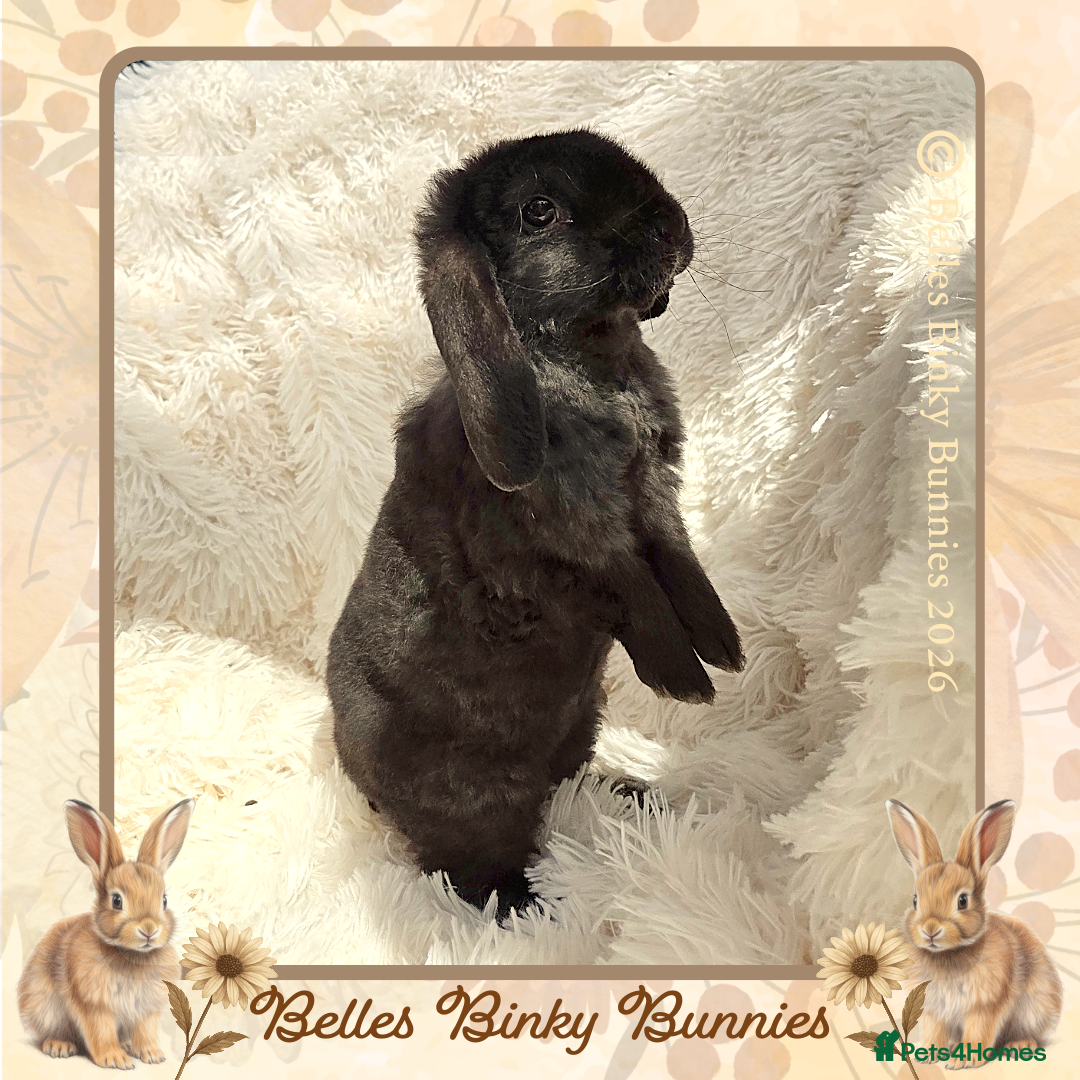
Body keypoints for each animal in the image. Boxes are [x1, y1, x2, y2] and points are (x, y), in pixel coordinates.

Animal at [17, 798, 194, 1069]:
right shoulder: (95, 1005)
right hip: (45, 1007)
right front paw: (115, 1060)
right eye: (117, 901)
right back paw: (59, 1046)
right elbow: (101, 1031)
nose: (149, 930)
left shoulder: (145, 1010)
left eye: (164, 900)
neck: (131, 954)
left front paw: (152, 1055)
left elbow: (145, 1031)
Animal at [328, 128, 744, 919]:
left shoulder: (653, 496)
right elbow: (634, 592)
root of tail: (360, 780)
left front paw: (726, 649)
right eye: (540, 211)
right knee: (470, 864)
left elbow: (681, 565)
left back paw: (639, 800)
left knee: (568, 785)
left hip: (580, 726)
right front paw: (686, 683)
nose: (670, 225)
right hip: (479, 802)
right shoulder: (568, 544)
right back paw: (527, 908)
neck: (592, 353)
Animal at [885, 798, 1063, 1067]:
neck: (949, 954)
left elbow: (978, 1031)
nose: (930, 930)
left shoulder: (984, 1005)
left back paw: (1019, 1045)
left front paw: (963, 1061)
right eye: (915, 900)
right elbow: (934, 1031)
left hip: (1034, 1009)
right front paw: (926, 1056)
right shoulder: (935, 1009)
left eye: (962, 901)